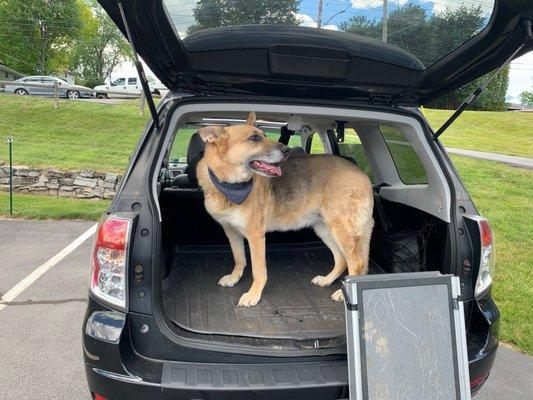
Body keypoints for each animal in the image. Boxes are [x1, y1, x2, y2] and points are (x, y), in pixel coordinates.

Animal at [195, 111, 374, 306]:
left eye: (264, 135)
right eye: (254, 138)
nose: (287, 150)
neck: (228, 183)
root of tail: (361, 173)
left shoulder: (255, 235)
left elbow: (258, 271)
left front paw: (253, 295)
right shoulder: (231, 231)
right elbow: (239, 258)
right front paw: (234, 278)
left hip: (341, 231)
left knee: (356, 263)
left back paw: (343, 294)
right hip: (324, 230)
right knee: (342, 260)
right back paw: (326, 280)